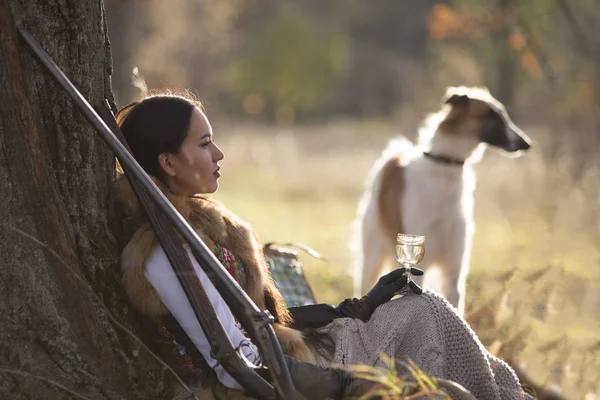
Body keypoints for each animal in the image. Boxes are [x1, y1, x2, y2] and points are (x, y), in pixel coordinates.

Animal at [352, 86, 528, 314]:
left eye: (504, 115)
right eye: (490, 115)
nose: (526, 143)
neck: (445, 168)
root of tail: (393, 157)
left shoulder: (455, 268)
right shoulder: (421, 263)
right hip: (373, 254)